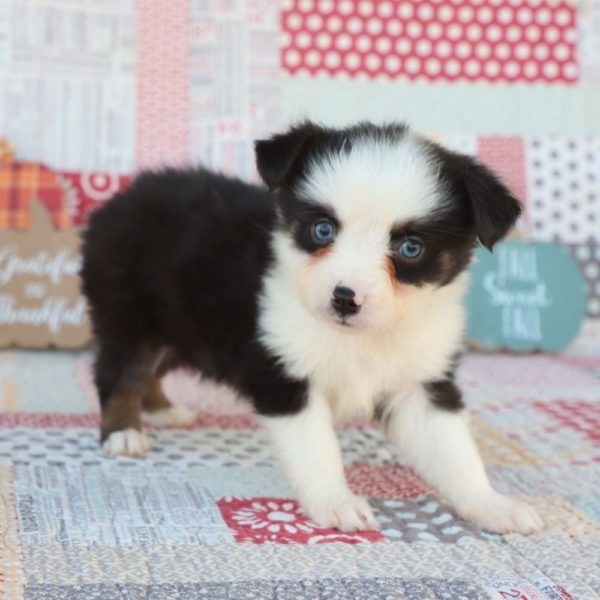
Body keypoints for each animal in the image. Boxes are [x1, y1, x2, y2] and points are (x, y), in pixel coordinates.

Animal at [82, 120, 548, 536]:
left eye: (411, 248)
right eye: (323, 229)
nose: (344, 298)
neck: (361, 337)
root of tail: (118, 201)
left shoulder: (421, 383)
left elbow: (455, 453)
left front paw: (492, 505)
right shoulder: (287, 376)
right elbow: (316, 449)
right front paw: (336, 503)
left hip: (180, 326)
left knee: (153, 369)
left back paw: (163, 408)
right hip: (131, 316)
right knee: (119, 373)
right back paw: (123, 432)